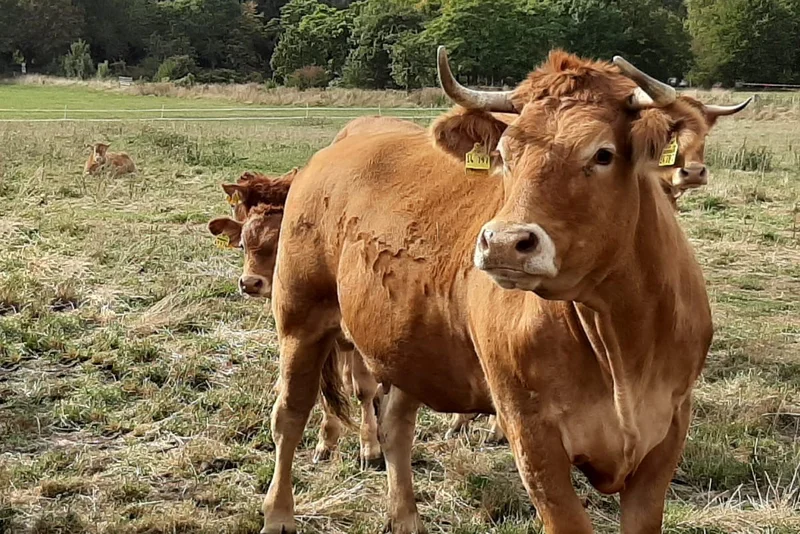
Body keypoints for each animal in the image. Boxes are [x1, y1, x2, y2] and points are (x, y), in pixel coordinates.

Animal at [259, 47, 750, 534]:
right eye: (505, 153)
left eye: (603, 154)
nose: (503, 243)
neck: (622, 342)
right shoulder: (531, 434)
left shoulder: (667, 432)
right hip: (300, 316)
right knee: (289, 414)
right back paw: (278, 514)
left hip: (410, 346)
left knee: (396, 423)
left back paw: (406, 518)